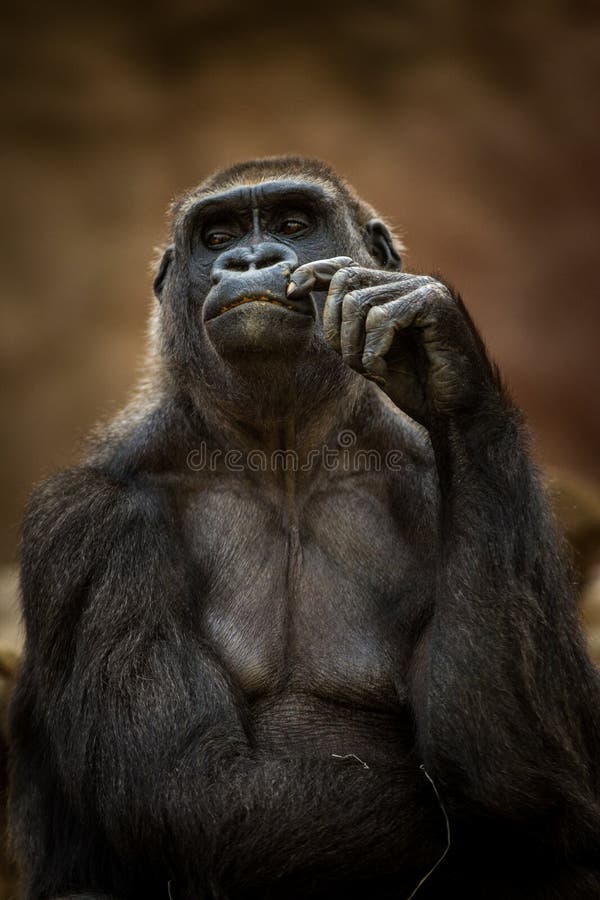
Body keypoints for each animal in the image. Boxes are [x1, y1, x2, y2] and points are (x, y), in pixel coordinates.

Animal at [8, 158, 600, 896]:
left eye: (293, 224)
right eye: (218, 235)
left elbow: (514, 771)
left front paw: (444, 366)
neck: (285, 458)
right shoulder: (86, 521)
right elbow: (195, 791)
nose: (250, 260)